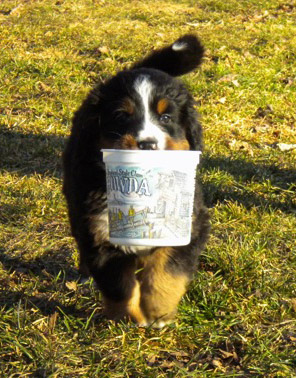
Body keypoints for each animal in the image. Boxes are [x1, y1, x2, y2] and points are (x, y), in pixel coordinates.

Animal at [62, 34, 210, 326]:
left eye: (166, 117)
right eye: (121, 116)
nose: (148, 144)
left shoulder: (191, 225)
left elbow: (168, 271)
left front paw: (158, 310)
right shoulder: (100, 232)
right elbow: (119, 285)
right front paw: (129, 316)